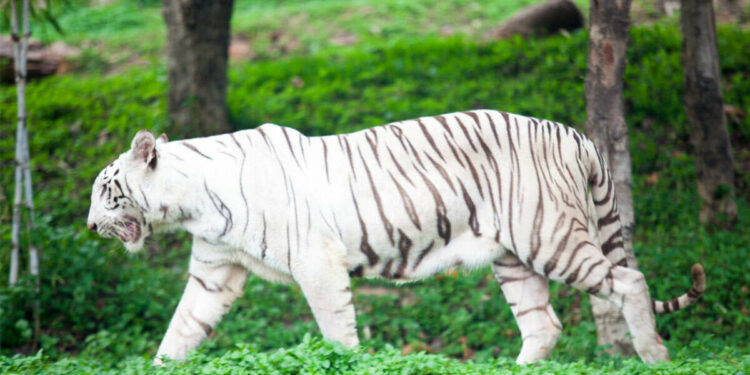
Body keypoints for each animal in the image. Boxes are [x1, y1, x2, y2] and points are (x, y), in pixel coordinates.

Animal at [86, 108, 704, 364]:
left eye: (107, 191)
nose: (90, 226)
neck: (191, 202)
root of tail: (577, 135)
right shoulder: (215, 271)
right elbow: (181, 329)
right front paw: (158, 366)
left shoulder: (317, 262)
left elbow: (337, 332)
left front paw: (348, 362)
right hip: (513, 256)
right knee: (544, 324)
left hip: (549, 236)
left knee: (630, 280)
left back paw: (655, 356)